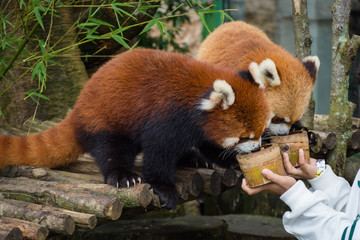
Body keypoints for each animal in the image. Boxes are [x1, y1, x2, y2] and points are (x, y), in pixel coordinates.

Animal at [0, 48, 270, 208]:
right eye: (243, 136)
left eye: (261, 131)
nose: (256, 149)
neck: (197, 96)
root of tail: (78, 108)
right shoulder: (165, 117)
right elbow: (158, 154)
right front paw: (163, 188)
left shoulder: (200, 126)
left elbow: (209, 144)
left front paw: (232, 161)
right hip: (106, 119)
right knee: (112, 149)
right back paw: (122, 175)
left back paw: (191, 158)